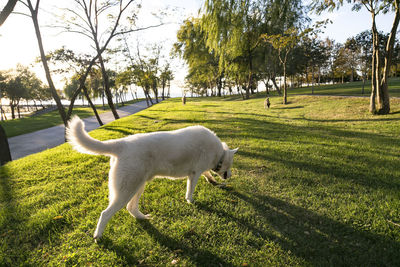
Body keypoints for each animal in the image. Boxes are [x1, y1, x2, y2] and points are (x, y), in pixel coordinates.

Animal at [66, 116, 238, 242]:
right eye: (230, 165)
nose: (230, 176)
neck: (219, 153)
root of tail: (121, 144)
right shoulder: (194, 174)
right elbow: (191, 191)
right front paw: (191, 201)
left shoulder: (200, 171)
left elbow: (208, 175)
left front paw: (215, 182)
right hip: (126, 190)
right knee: (105, 213)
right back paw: (98, 236)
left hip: (138, 186)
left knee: (131, 207)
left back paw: (143, 218)